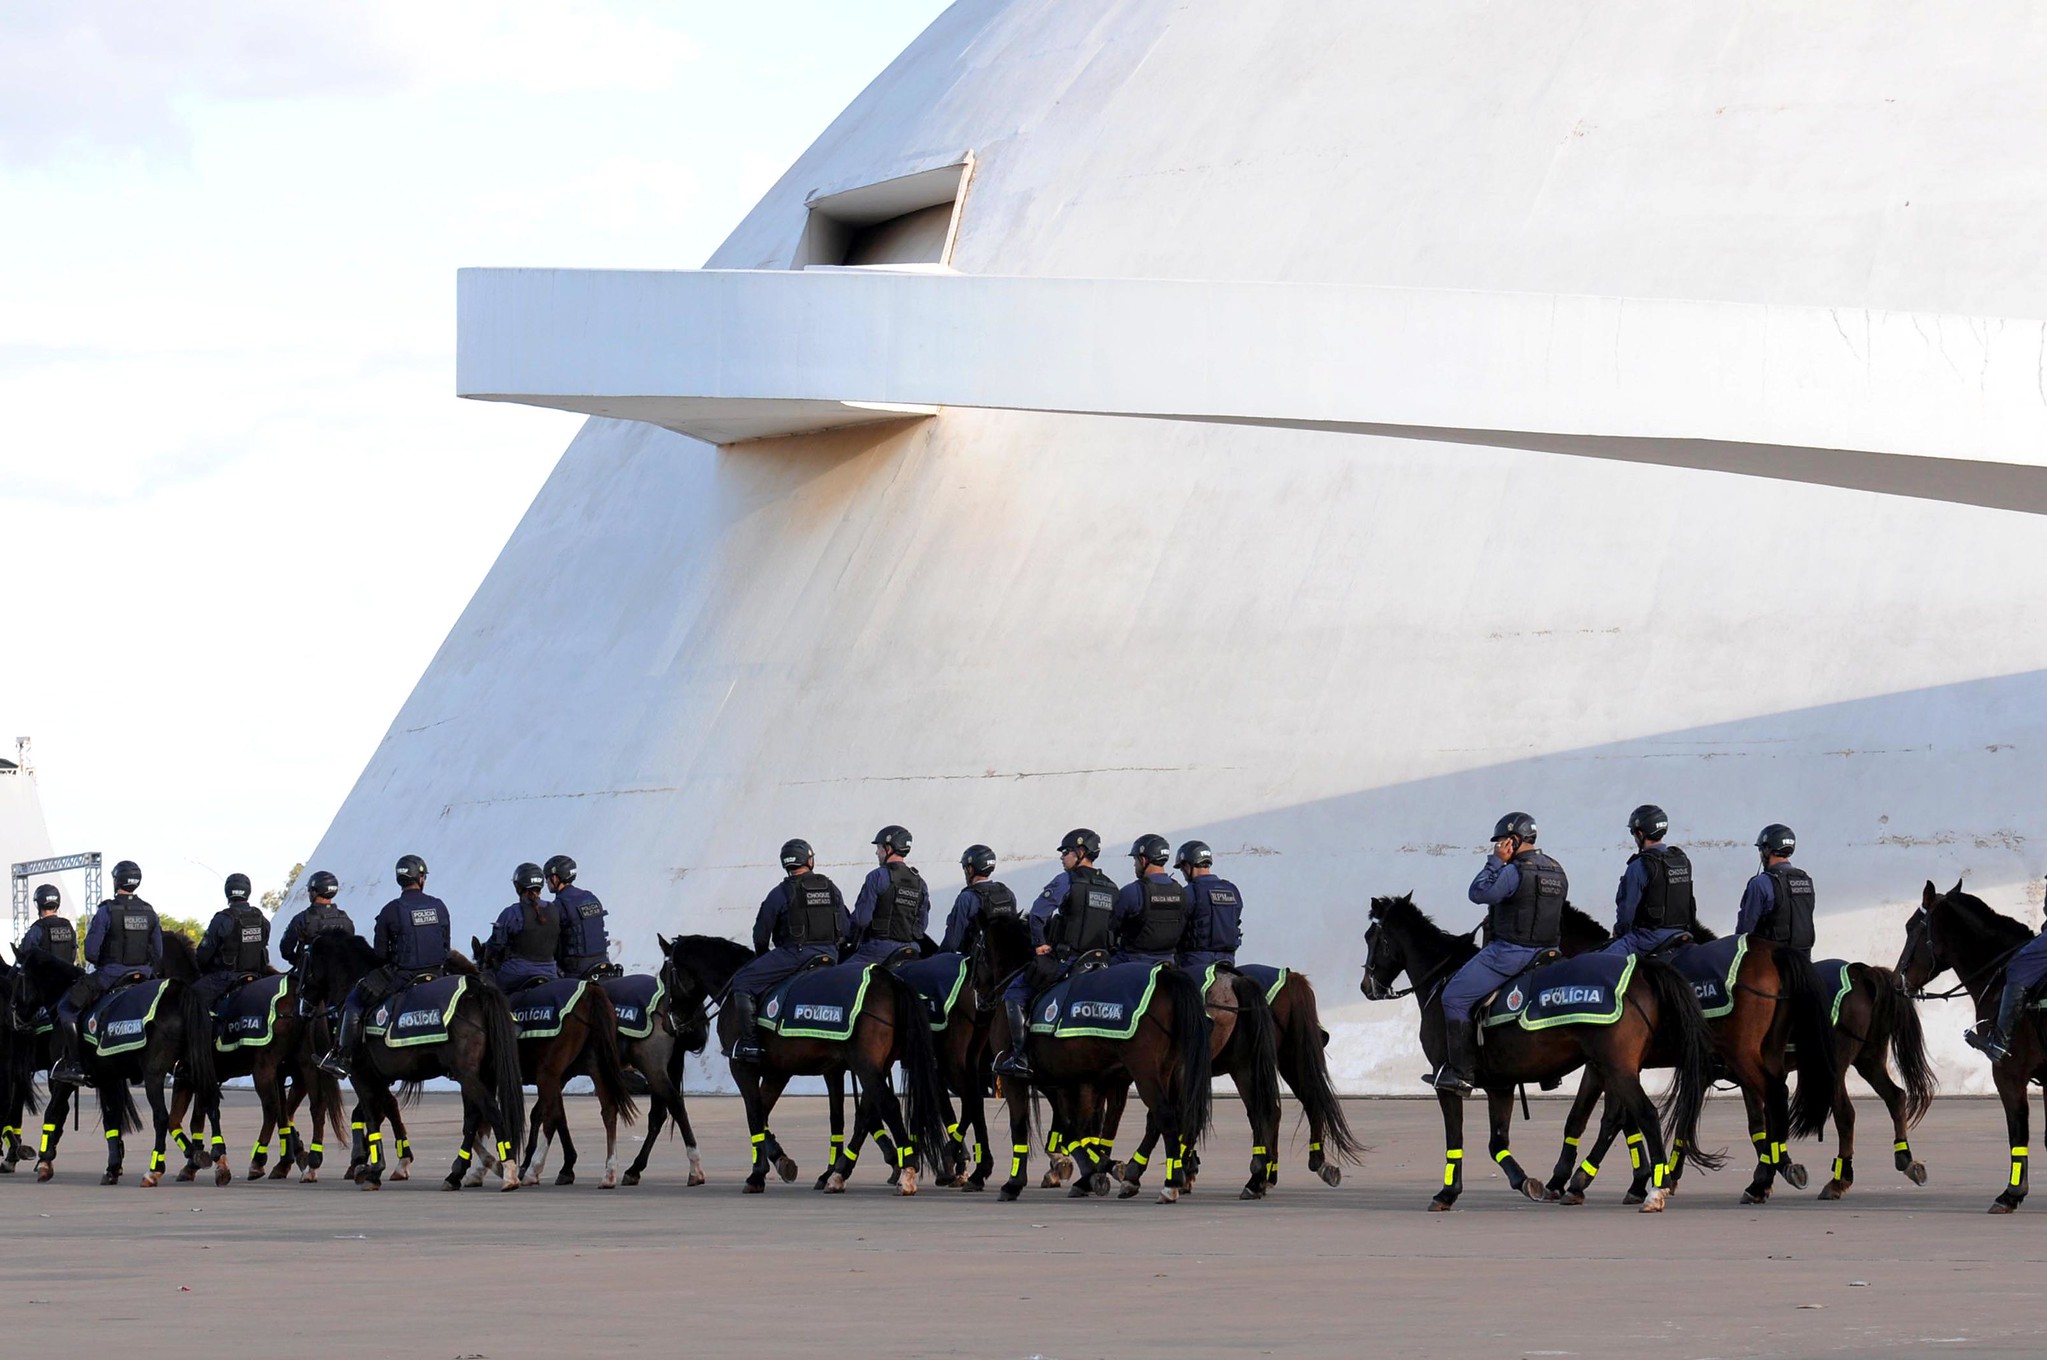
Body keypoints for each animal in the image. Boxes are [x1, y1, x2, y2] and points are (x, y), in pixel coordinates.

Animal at [12, 950, 220, 1187]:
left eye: (18, 977)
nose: (15, 1013)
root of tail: (177, 991)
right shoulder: (108, 1078)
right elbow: (111, 1120)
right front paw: (113, 1167)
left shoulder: (64, 1080)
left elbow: (52, 1113)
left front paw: (45, 1162)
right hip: (194, 1067)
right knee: (211, 1106)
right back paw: (218, 1163)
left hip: (154, 1075)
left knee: (161, 1117)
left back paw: (154, 1171)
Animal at [302, 933, 532, 1187]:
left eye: (306, 962)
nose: (303, 1004)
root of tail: (477, 989)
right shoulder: (380, 1077)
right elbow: (384, 1109)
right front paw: (378, 1163)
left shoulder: (361, 1076)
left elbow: (371, 1115)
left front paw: (373, 1168)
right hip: (481, 1074)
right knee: (473, 1118)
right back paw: (457, 1173)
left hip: (467, 1075)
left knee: (490, 1110)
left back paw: (508, 1170)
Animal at [1367, 893, 1719, 1212]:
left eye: (1372, 937)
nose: (1366, 986)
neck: (1443, 980)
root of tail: (1641, 968)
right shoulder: (1501, 1086)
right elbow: (1498, 1142)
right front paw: (1527, 1182)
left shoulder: (1447, 1083)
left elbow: (1456, 1139)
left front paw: (1447, 1193)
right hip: (1614, 1068)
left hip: (1616, 1068)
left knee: (1646, 1115)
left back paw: (1655, 1189)